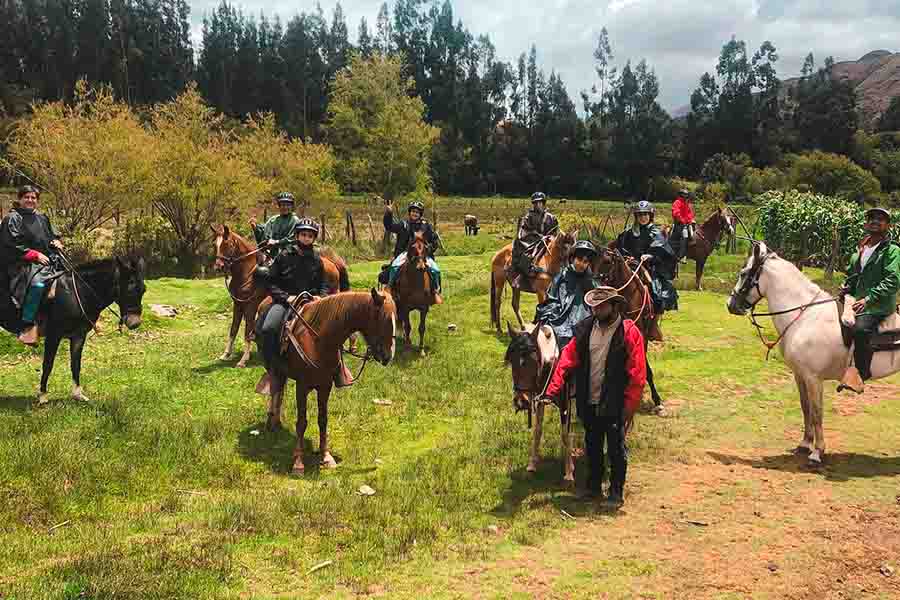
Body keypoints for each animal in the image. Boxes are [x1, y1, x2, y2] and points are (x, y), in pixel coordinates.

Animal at [0, 258, 146, 404]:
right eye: (129, 290)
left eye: (143, 290)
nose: (135, 323)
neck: (76, 294)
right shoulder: (54, 336)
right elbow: (48, 364)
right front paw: (42, 396)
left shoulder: (78, 336)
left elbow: (76, 364)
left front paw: (77, 394)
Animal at [213, 224, 350, 366]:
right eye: (214, 244)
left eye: (228, 244)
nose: (218, 267)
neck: (247, 272)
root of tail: (332, 263)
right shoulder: (238, 305)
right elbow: (233, 329)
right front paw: (226, 354)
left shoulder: (250, 306)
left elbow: (247, 331)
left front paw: (243, 359)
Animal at [258, 288, 396, 476]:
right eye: (385, 320)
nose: (388, 356)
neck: (317, 340)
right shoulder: (302, 386)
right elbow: (301, 422)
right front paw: (298, 462)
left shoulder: (325, 386)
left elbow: (323, 420)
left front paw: (326, 456)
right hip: (272, 369)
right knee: (275, 390)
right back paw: (271, 420)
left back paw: (276, 421)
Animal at [728, 241, 896, 466]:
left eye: (743, 273)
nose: (731, 305)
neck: (807, 316)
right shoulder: (800, 375)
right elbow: (805, 407)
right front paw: (805, 444)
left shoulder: (814, 378)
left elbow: (817, 412)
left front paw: (817, 452)